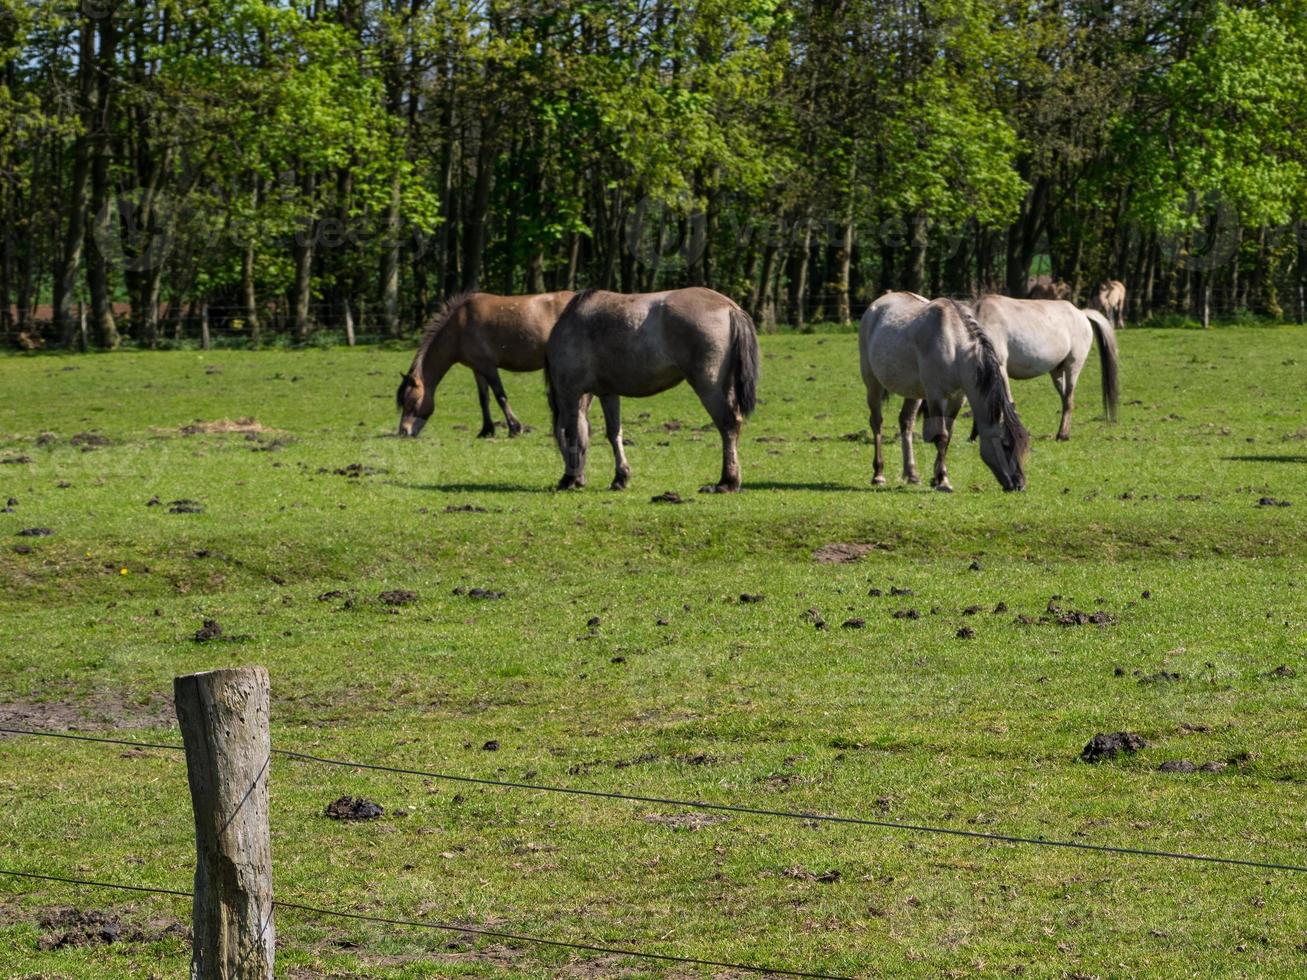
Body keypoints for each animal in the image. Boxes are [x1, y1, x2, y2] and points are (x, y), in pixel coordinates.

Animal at [394, 290, 575, 439]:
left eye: (412, 401)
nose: (403, 431)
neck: (460, 327)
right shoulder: (478, 369)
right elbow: (484, 399)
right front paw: (486, 430)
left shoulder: (489, 367)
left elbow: (500, 396)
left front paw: (514, 428)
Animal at [541, 287, 763, 493]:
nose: (578, 479)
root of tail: (729, 306)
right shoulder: (607, 393)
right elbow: (614, 433)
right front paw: (620, 477)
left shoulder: (569, 392)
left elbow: (573, 433)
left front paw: (568, 479)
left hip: (709, 386)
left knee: (728, 424)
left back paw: (727, 481)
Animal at [857, 291, 1029, 491]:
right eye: (1006, 445)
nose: (1020, 484)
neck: (954, 345)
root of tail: (876, 305)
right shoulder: (935, 395)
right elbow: (942, 435)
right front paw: (943, 481)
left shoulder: (958, 398)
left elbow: (948, 434)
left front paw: (937, 478)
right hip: (873, 384)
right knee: (876, 422)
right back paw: (878, 474)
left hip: (915, 392)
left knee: (906, 422)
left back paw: (912, 474)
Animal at [977, 294, 1118, 444]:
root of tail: (1081, 313)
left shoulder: (1000, 367)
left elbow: (1007, 402)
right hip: (1057, 372)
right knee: (1065, 399)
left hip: (1073, 366)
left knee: (1069, 399)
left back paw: (1063, 435)